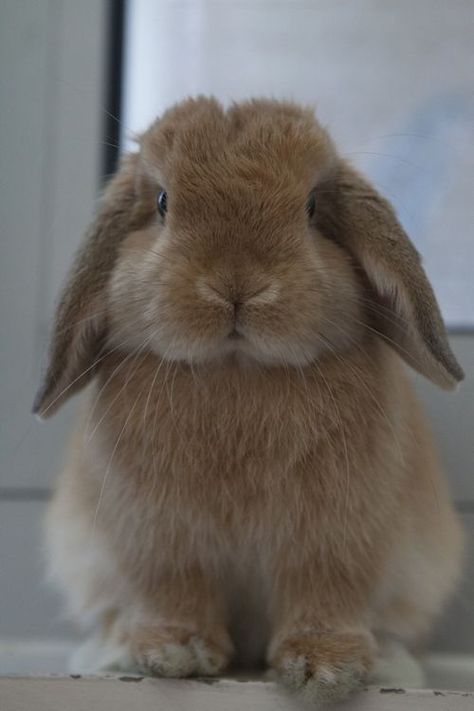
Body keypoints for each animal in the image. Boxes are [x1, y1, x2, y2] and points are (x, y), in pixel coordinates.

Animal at [34, 98, 462, 708]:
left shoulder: (330, 545)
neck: (238, 370)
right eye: (163, 203)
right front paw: (176, 652)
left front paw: (325, 669)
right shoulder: (162, 545)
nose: (237, 286)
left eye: (310, 208)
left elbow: (324, 600)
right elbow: (175, 595)